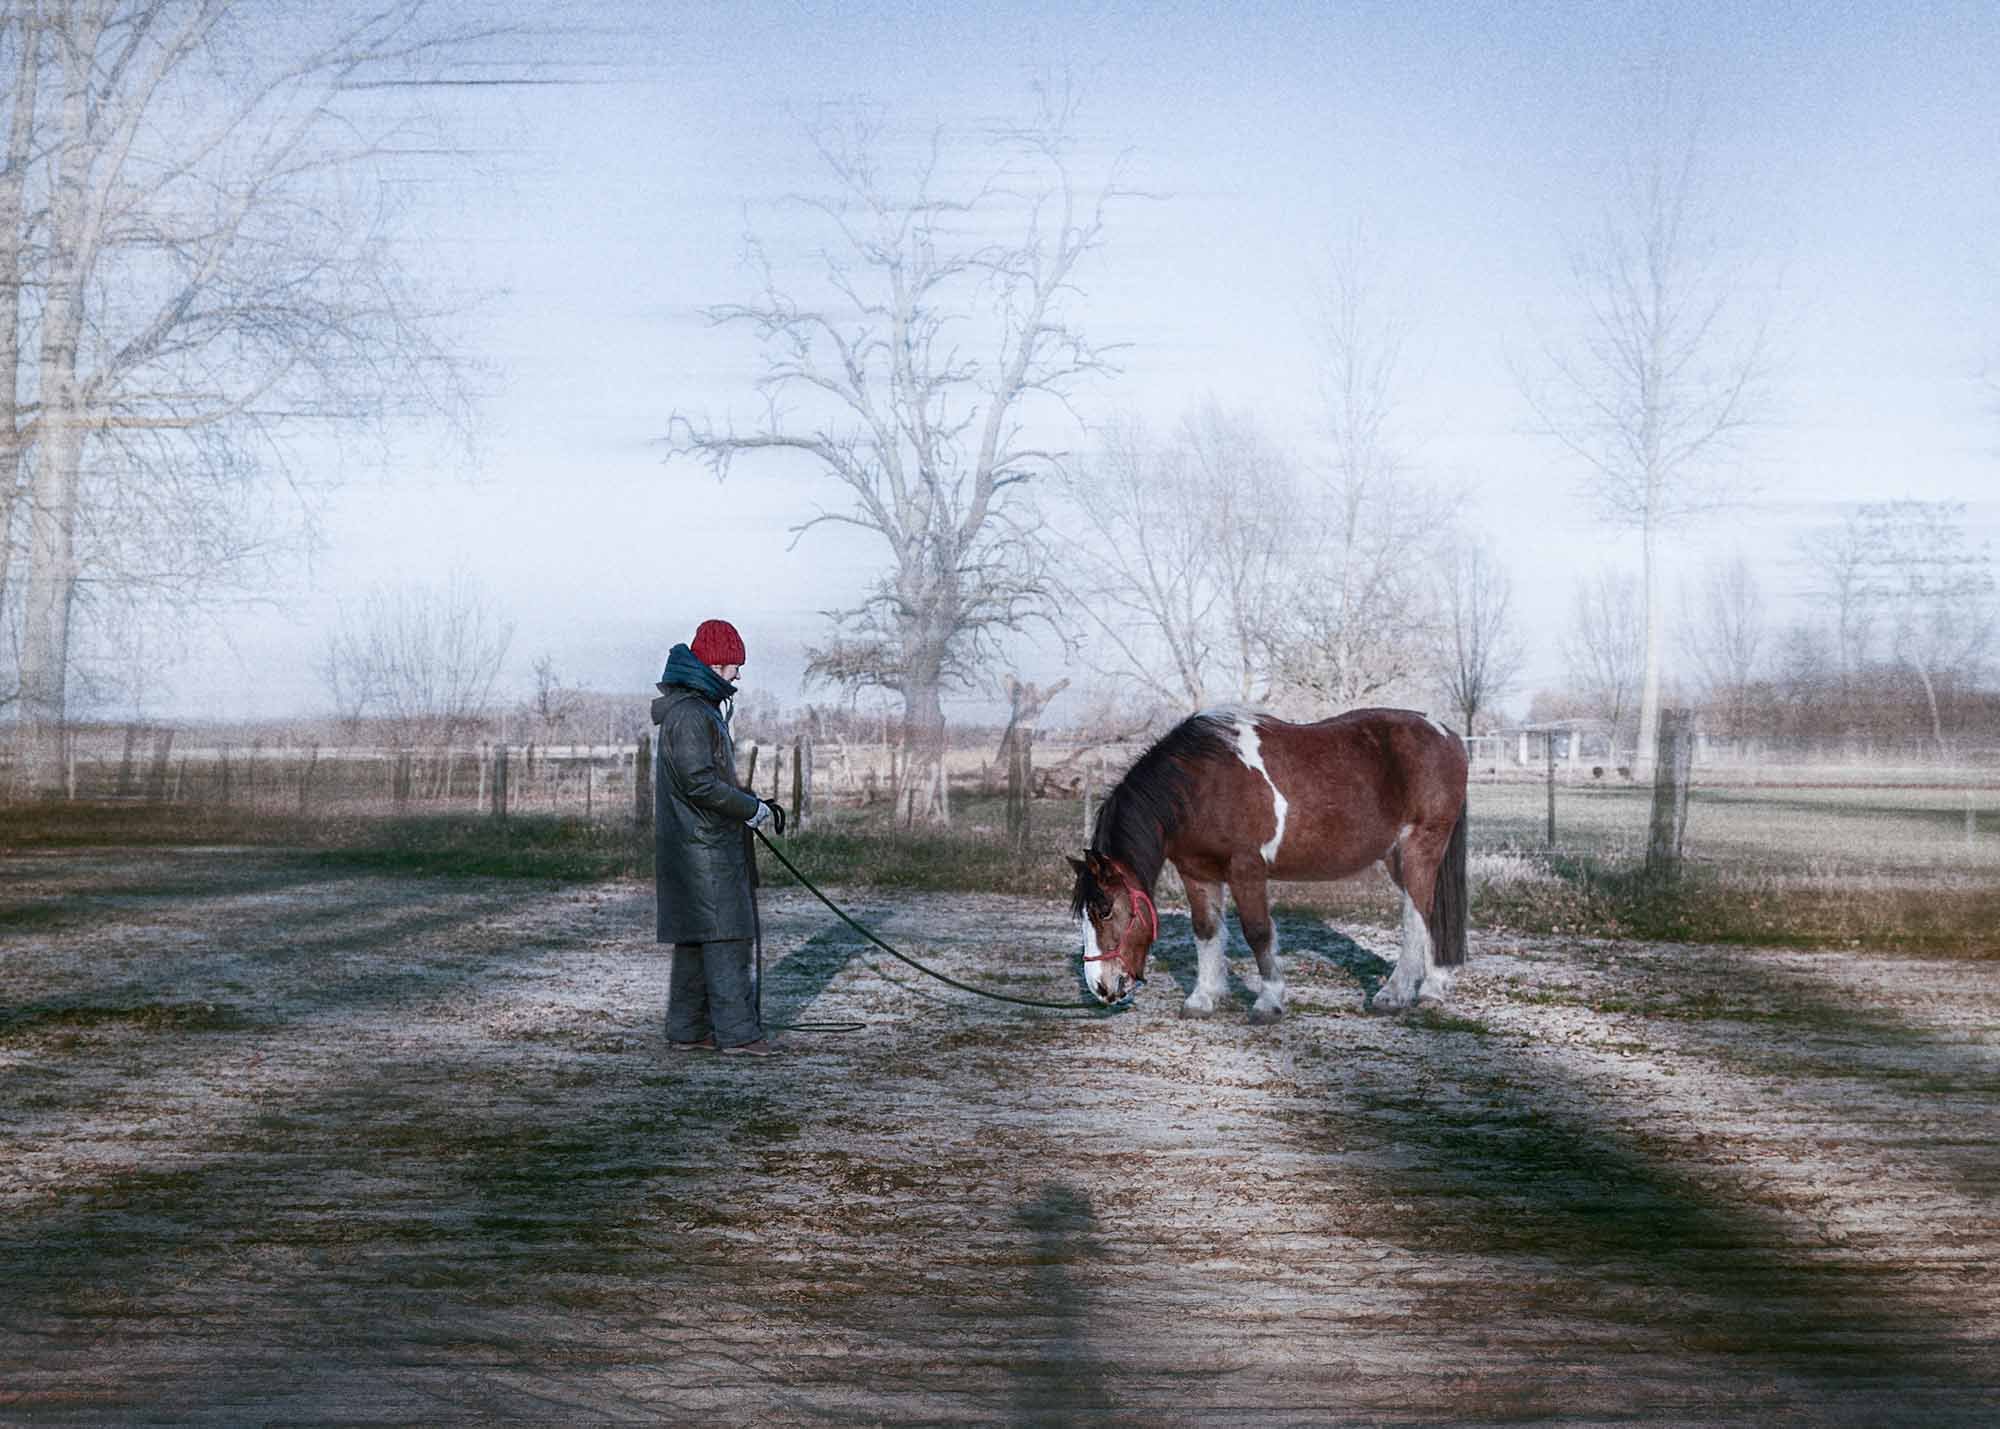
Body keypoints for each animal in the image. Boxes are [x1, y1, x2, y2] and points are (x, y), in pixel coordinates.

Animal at [1067, 707, 1469, 1021]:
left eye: (1104, 910)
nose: (1100, 987)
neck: (1201, 785)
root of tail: (1449, 736)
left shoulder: (1246, 869)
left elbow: (1257, 932)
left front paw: (1269, 1001)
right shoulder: (1196, 872)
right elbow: (1206, 929)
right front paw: (1203, 998)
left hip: (1420, 847)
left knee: (1417, 916)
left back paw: (1396, 993)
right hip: (1397, 858)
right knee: (1434, 914)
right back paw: (1432, 988)